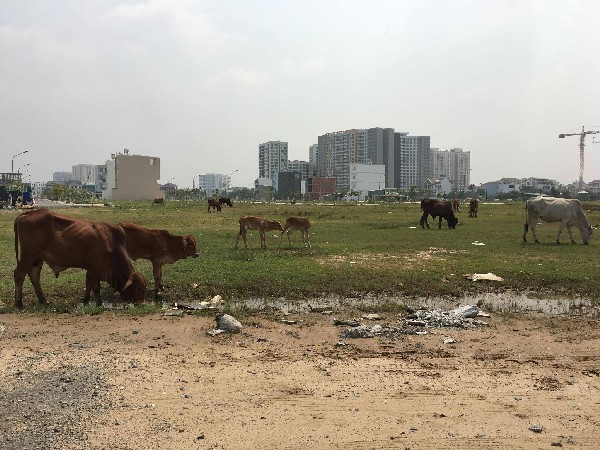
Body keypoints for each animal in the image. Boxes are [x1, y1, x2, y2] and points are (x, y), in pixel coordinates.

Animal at [12, 208, 146, 310]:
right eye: (138, 288)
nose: (141, 303)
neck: (112, 243)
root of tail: (27, 213)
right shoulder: (95, 266)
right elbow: (96, 286)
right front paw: (99, 303)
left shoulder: (91, 268)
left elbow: (89, 284)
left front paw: (86, 301)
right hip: (28, 255)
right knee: (19, 274)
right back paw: (19, 303)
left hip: (37, 258)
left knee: (34, 276)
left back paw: (43, 300)